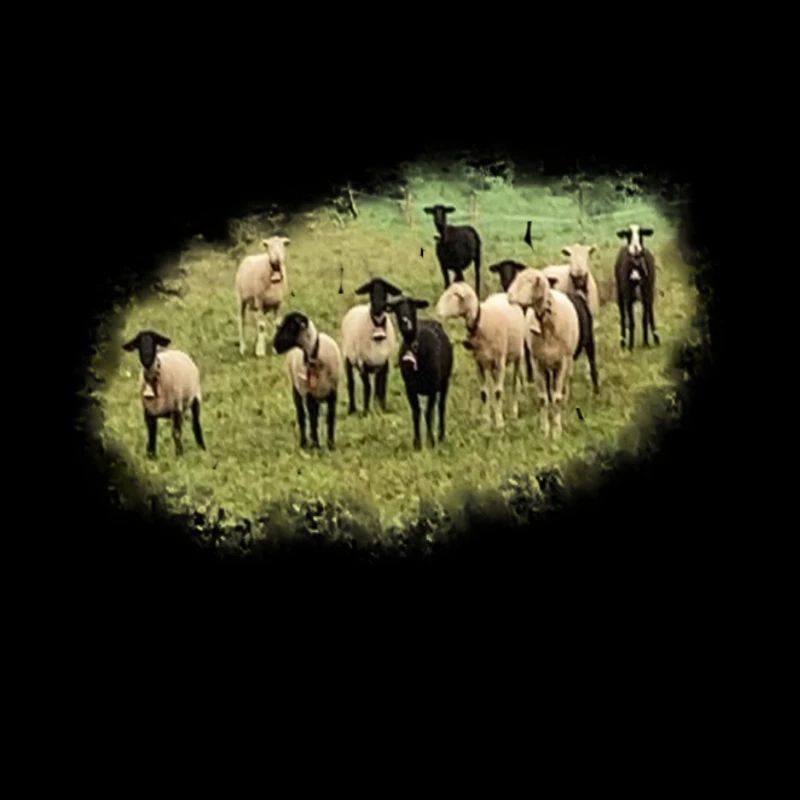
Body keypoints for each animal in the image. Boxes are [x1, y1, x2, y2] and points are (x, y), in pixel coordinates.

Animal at [273, 312, 341, 450]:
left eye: (290, 327)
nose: (274, 345)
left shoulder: (332, 394)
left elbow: (330, 419)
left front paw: (331, 445)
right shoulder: (309, 395)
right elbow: (313, 421)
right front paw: (316, 445)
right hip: (297, 390)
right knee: (302, 417)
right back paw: (304, 443)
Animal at [340, 277, 402, 416]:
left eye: (385, 290)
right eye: (371, 290)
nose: (378, 307)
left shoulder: (385, 363)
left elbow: (382, 387)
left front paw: (382, 409)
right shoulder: (362, 363)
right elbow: (368, 387)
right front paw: (366, 412)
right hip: (348, 358)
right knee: (351, 384)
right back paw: (352, 410)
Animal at [385, 296, 453, 450]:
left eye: (412, 306)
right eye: (397, 309)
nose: (406, 323)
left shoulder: (433, 387)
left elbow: (428, 413)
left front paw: (431, 441)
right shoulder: (409, 387)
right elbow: (416, 412)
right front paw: (417, 443)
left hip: (445, 381)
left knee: (441, 407)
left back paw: (441, 436)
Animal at [435, 282, 525, 429]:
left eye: (455, 295)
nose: (437, 312)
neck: (481, 320)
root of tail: (502, 293)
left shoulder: (500, 363)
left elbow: (498, 393)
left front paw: (499, 423)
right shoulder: (479, 364)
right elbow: (484, 394)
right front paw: (486, 422)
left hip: (518, 355)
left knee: (514, 385)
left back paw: (514, 412)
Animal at [507, 269, 582, 439]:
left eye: (529, 281)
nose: (509, 295)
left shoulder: (562, 362)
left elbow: (557, 398)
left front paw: (557, 432)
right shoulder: (537, 363)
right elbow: (543, 399)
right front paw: (545, 430)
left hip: (566, 363)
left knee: (564, 386)